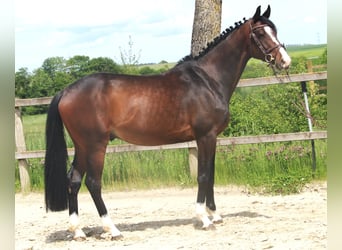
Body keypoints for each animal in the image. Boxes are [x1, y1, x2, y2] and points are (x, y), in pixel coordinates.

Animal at [44, 5, 292, 239]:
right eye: (260, 32)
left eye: (275, 30)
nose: (285, 61)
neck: (207, 80)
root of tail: (66, 91)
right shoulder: (205, 136)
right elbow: (203, 175)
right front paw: (204, 219)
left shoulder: (211, 138)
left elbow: (211, 175)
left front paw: (215, 215)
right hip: (96, 145)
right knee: (93, 183)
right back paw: (112, 229)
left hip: (82, 146)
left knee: (74, 180)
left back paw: (78, 231)